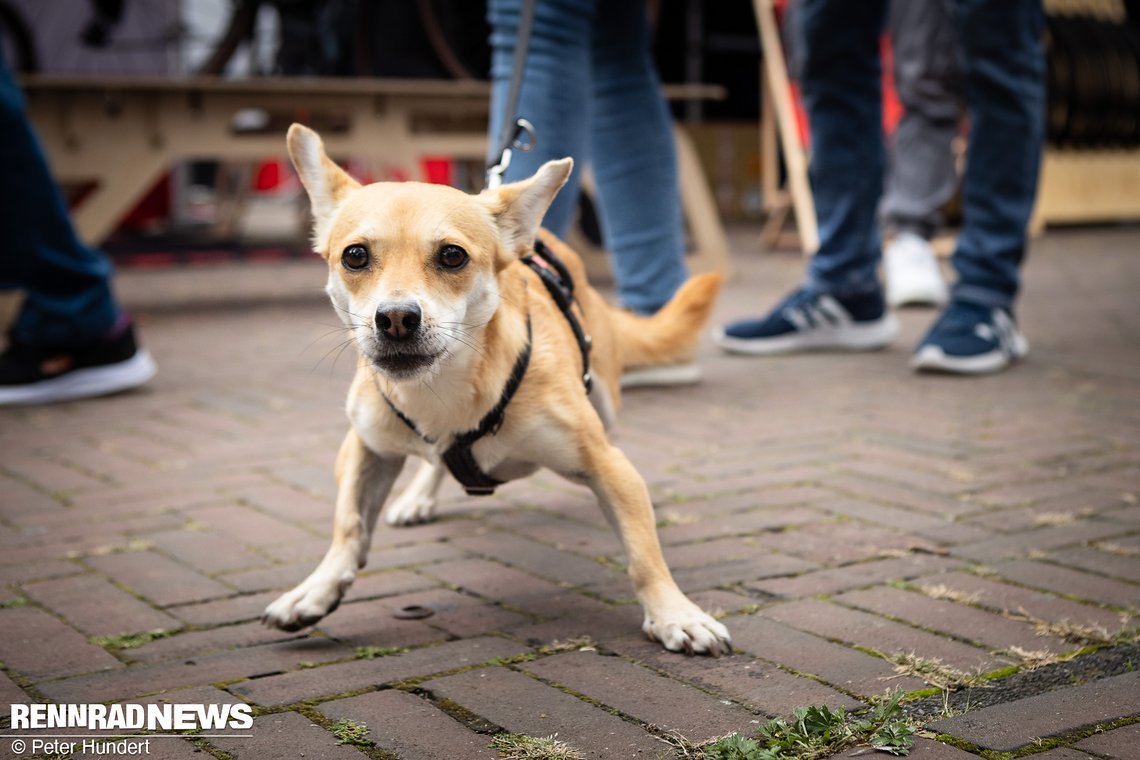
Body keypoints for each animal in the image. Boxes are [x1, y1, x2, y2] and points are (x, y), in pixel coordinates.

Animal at [262, 123, 729, 656]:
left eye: (452, 255)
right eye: (355, 256)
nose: (396, 318)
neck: (441, 392)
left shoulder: (607, 466)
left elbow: (643, 552)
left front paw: (675, 613)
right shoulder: (365, 448)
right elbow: (349, 526)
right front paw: (315, 592)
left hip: (604, 397)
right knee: (431, 464)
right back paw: (418, 497)